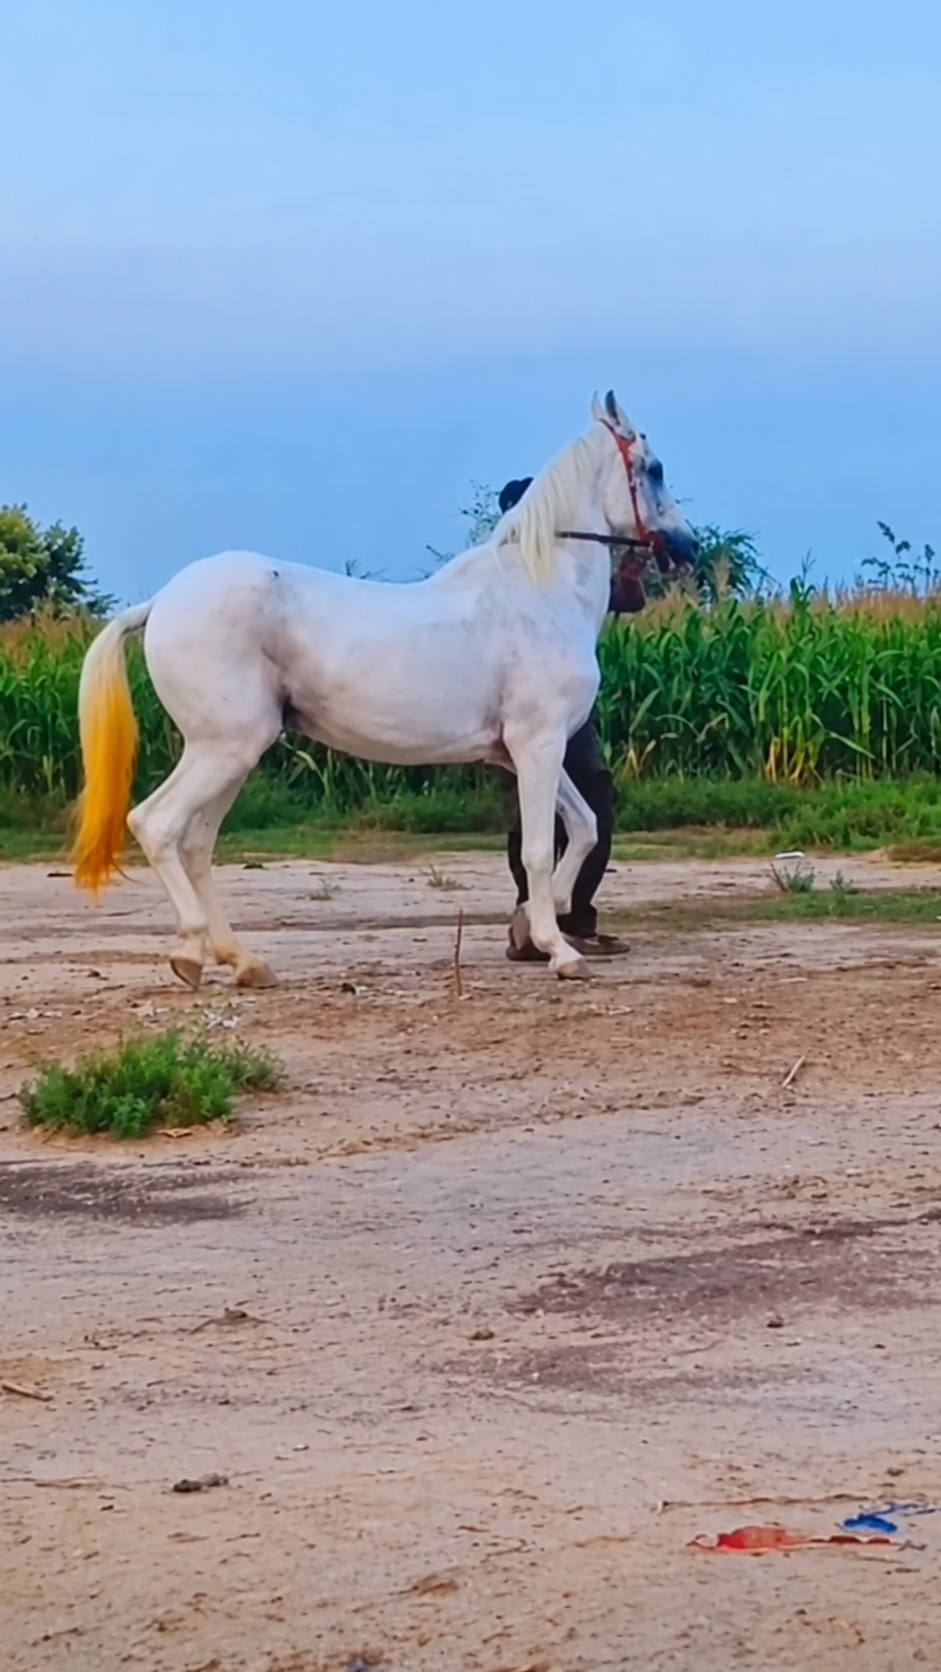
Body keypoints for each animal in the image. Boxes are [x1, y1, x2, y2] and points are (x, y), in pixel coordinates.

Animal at [71, 391, 697, 988]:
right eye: (656, 468)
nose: (687, 550)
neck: (540, 592)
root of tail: (162, 602)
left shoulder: (519, 753)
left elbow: (584, 827)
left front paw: (531, 926)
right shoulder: (537, 746)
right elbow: (542, 848)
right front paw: (560, 951)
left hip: (233, 755)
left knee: (197, 844)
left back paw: (244, 963)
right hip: (222, 749)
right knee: (157, 825)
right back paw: (189, 953)